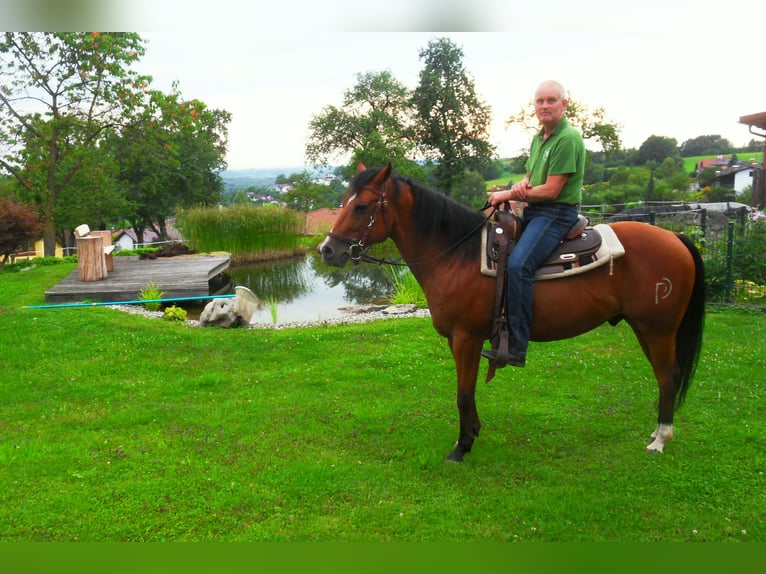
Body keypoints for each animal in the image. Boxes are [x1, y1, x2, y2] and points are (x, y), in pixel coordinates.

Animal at [319, 163, 705, 462]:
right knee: (664, 376)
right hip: (645, 328)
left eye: (362, 206)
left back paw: (660, 439)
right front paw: (472, 432)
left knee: (668, 375)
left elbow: (463, 393)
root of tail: (676, 237)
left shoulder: (467, 338)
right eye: (344, 203)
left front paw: (462, 446)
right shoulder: (461, 341)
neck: (455, 254)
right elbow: (468, 389)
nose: (327, 250)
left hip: (658, 328)